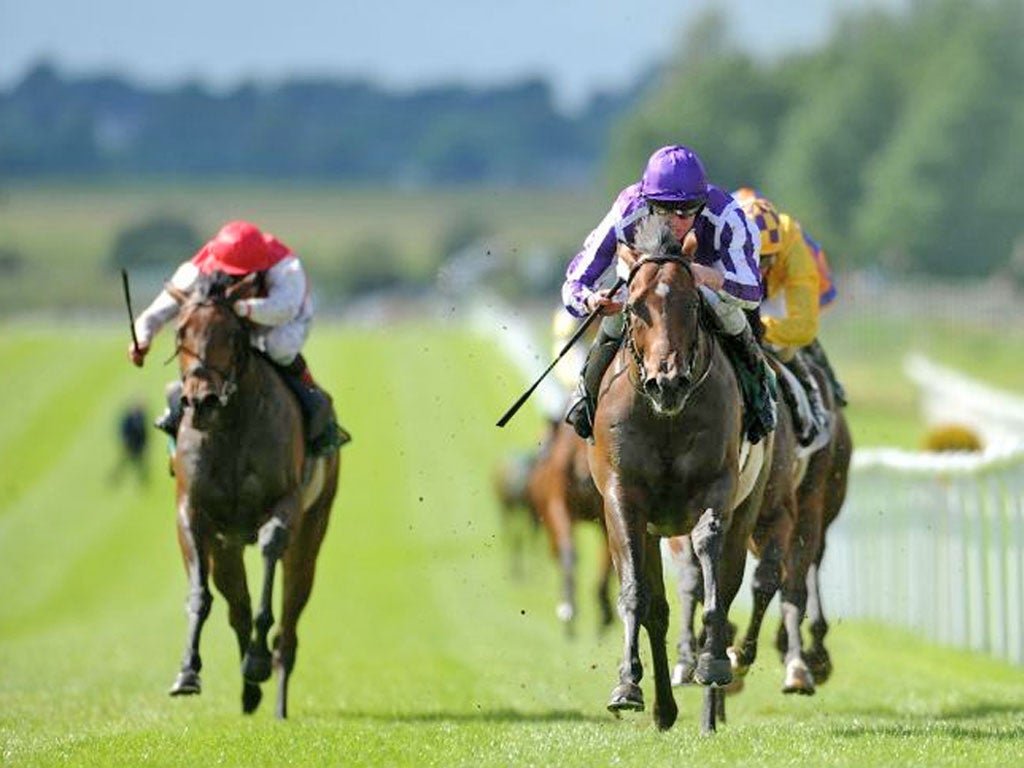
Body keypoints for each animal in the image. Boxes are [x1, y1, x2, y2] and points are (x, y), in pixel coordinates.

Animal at [162, 274, 339, 720]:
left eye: (231, 334)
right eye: (180, 332)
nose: (201, 400)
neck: (229, 426)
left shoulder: (286, 504)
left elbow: (270, 555)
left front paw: (258, 661)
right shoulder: (194, 513)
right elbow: (202, 596)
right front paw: (188, 671)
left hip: (311, 533)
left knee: (289, 621)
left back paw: (273, 688)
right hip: (226, 548)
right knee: (236, 608)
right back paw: (248, 691)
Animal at [585, 217, 770, 733]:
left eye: (690, 303)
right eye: (634, 306)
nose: (666, 382)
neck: (665, 417)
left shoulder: (717, 488)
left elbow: (713, 582)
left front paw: (712, 662)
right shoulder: (622, 499)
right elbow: (638, 596)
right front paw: (627, 686)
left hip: (746, 509)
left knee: (723, 585)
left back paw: (708, 708)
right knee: (659, 611)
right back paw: (663, 708)